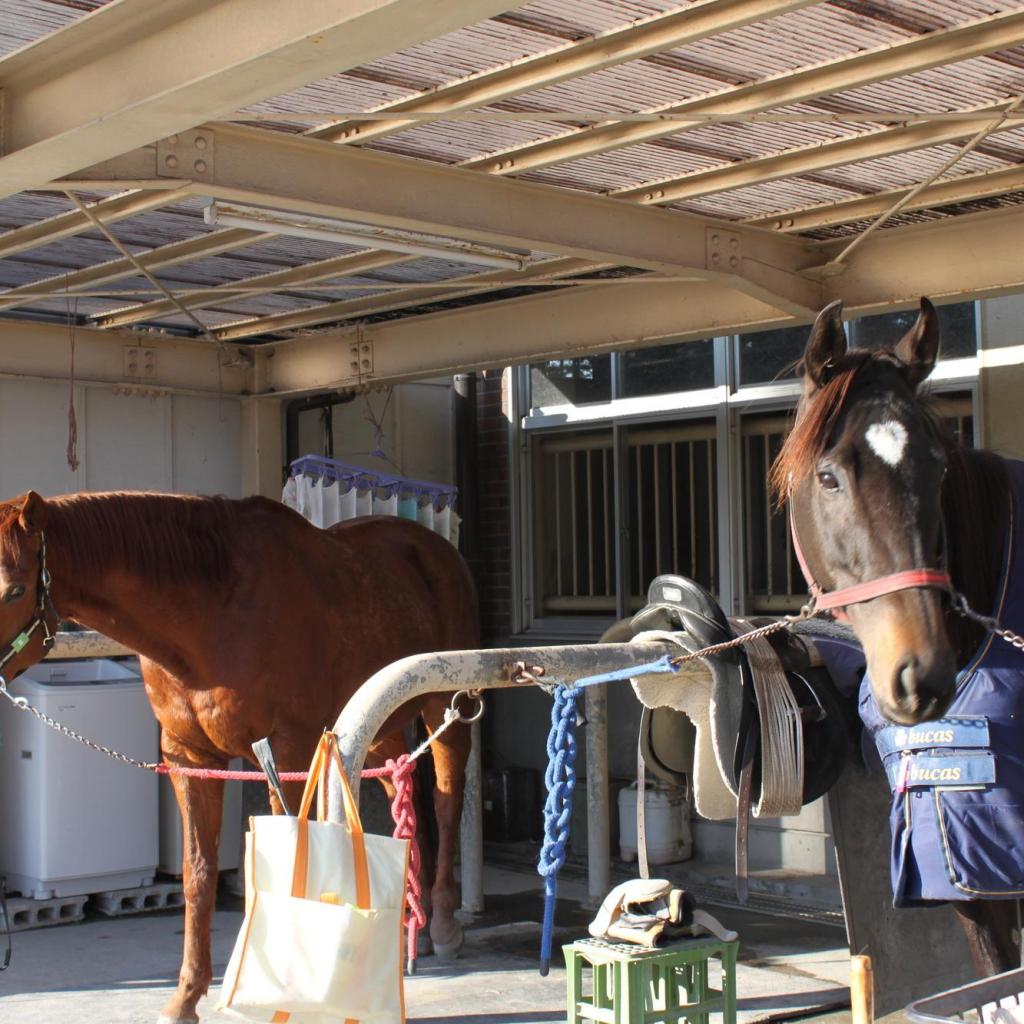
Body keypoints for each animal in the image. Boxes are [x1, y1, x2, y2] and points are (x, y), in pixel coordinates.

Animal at [0, 491, 478, 1024]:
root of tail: (437, 549)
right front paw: (186, 996)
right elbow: (197, 873)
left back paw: (443, 925)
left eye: (14, 589)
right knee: (403, 791)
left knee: (447, 800)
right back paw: (410, 925)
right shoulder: (187, 757)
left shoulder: (286, 749)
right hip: (380, 727)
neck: (215, 610)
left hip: (446, 706)